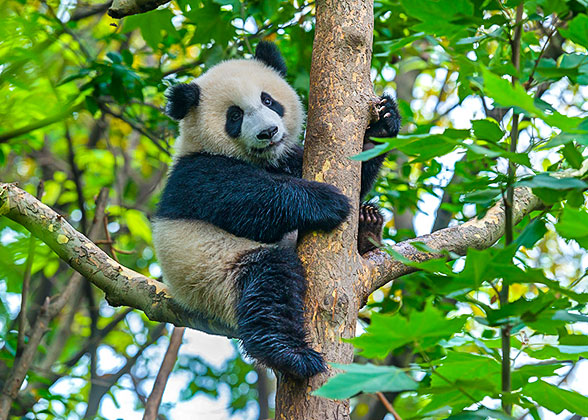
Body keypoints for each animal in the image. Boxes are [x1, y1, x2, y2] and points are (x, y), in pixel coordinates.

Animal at [152, 41, 402, 378]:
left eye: (268, 100)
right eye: (235, 116)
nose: (268, 132)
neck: (262, 159)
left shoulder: (290, 157)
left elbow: (357, 171)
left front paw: (384, 122)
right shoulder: (196, 174)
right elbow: (249, 202)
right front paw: (326, 201)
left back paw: (367, 226)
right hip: (214, 275)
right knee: (269, 284)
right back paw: (290, 354)